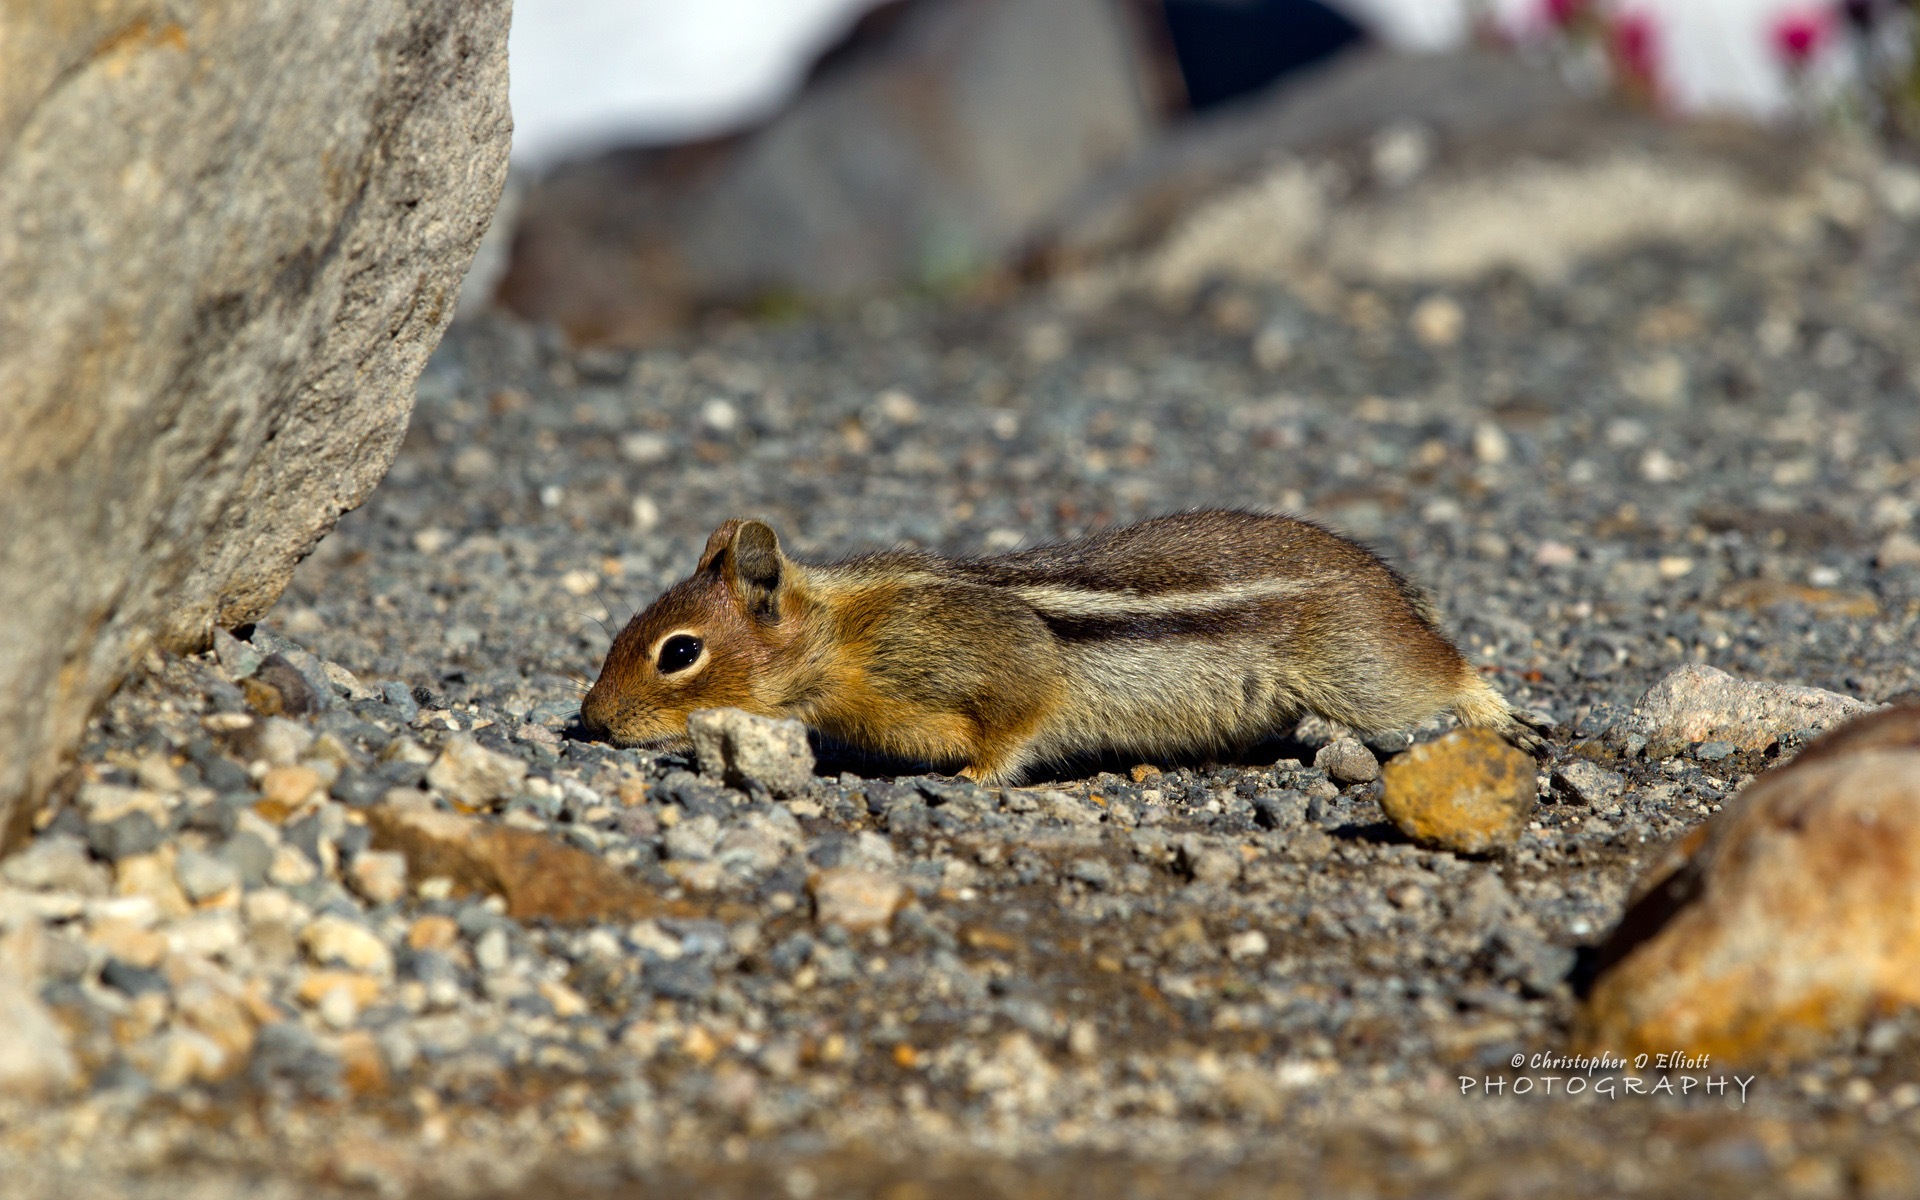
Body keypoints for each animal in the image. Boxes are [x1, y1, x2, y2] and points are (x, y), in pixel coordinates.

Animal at [576, 506, 1536, 783]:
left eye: (678, 653)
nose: (590, 721)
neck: (843, 637)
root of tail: (1390, 584)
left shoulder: (1003, 665)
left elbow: (1015, 724)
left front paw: (970, 780)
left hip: (1368, 673)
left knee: (1447, 671)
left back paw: (1503, 715)